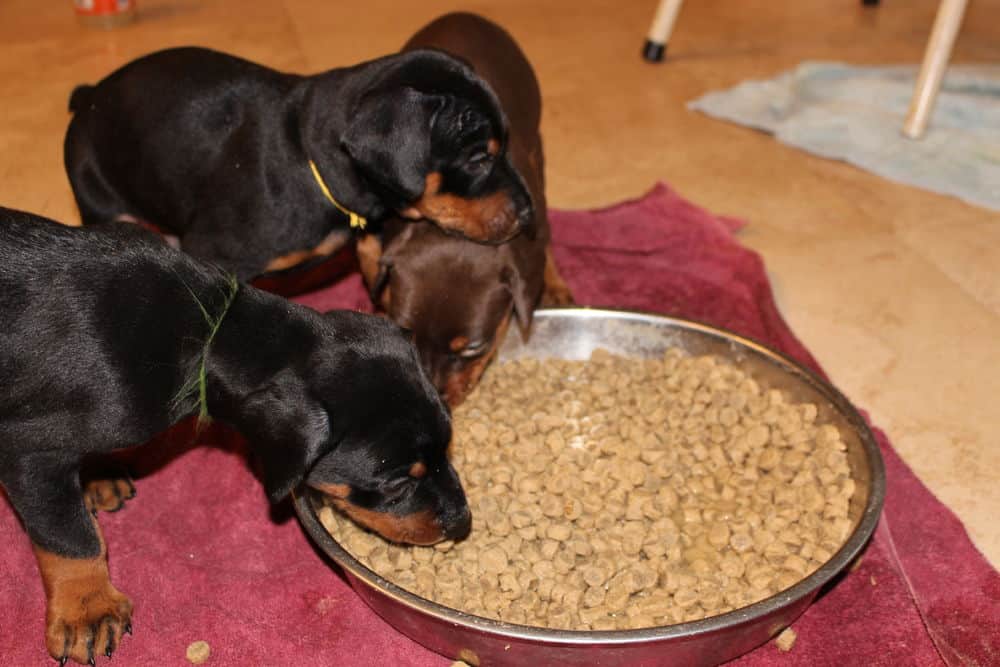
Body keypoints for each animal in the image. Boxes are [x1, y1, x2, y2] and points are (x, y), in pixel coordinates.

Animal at [0, 207, 468, 664]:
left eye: (448, 446)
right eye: (396, 482)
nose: (463, 524)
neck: (203, 330)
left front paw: (98, 475)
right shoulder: (31, 449)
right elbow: (70, 536)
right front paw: (87, 609)